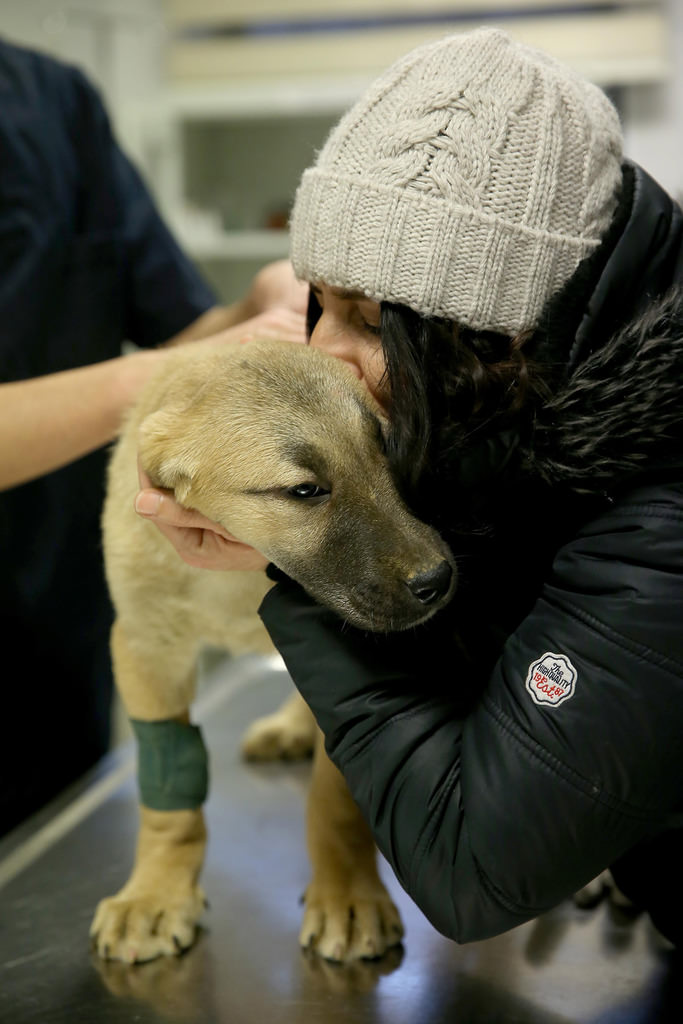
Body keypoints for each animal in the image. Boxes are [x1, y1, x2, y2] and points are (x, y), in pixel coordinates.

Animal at [89, 339, 454, 962]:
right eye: (305, 491)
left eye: (385, 450)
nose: (438, 578)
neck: (241, 585)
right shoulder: (145, 645)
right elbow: (167, 798)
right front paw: (156, 893)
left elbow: (336, 798)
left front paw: (346, 893)